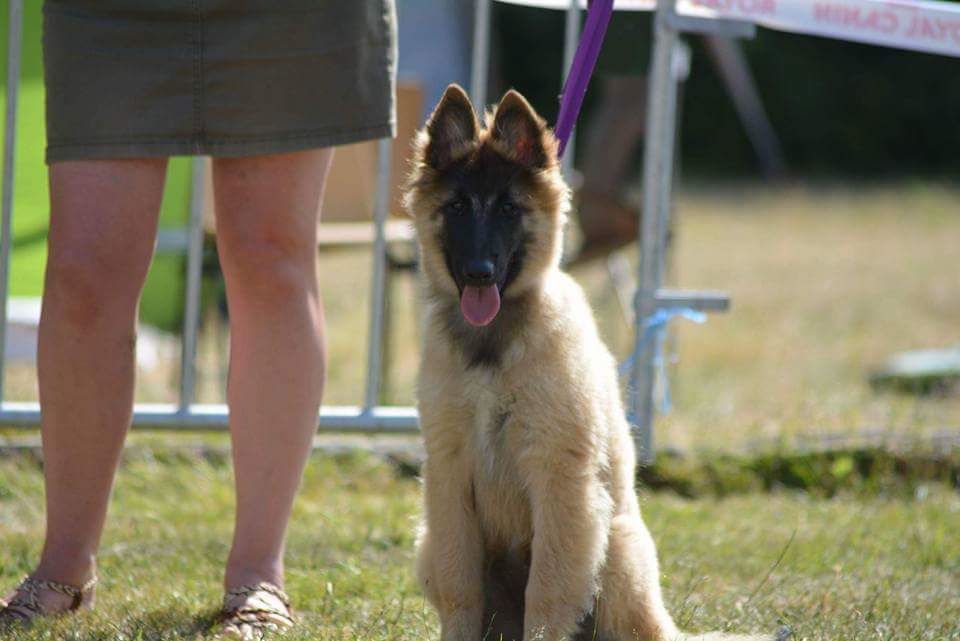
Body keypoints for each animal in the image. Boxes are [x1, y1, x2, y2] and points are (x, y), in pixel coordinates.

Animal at [404, 84, 772, 640]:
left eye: (509, 208)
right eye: (458, 206)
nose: (479, 272)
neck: (495, 346)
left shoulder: (561, 479)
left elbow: (549, 588)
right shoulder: (449, 480)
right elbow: (459, 586)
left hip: (614, 547)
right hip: (428, 541)